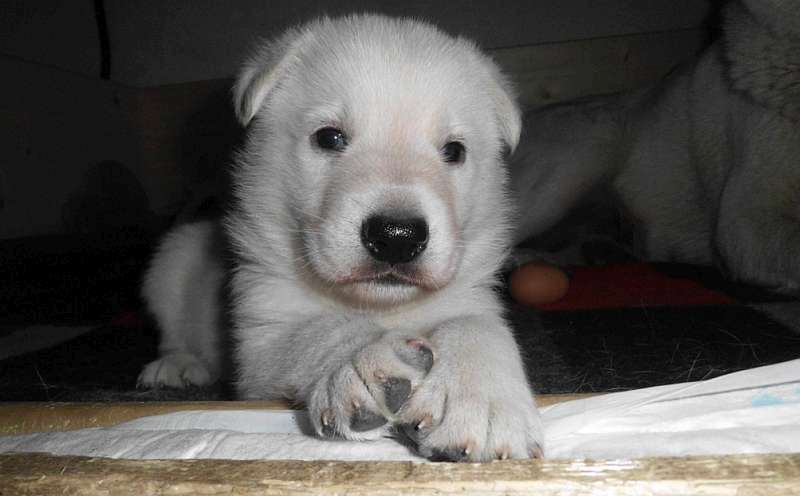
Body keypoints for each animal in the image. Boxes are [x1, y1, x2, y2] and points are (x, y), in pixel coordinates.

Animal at [141, 13, 544, 462]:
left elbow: (478, 326)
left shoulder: (468, 295)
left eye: (454, 151)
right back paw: (176, 366)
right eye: (329, 137)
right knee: (172, 333)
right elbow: (317, 329)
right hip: (171, 260)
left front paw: (482, 400)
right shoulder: (260, 341)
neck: (384, 307)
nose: (397, 235)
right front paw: (362, 360)